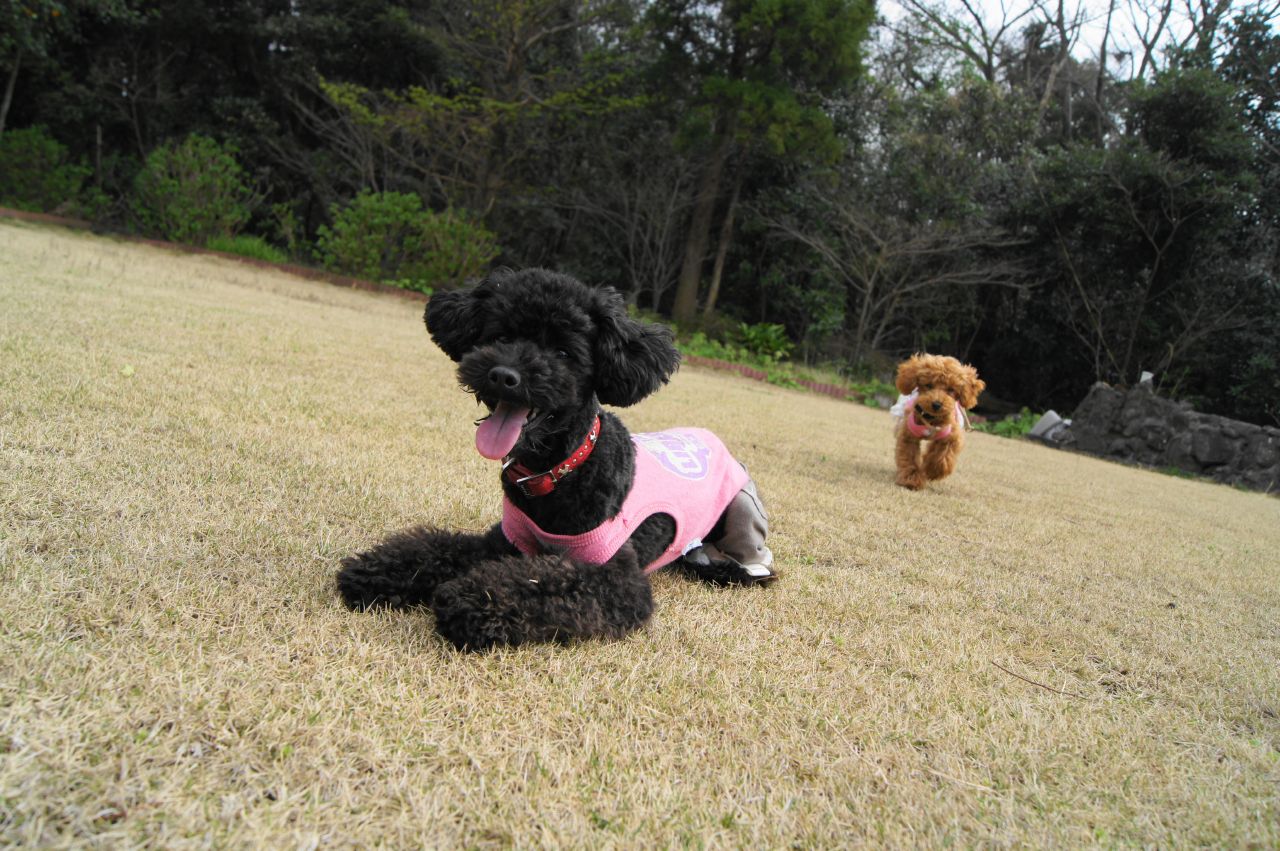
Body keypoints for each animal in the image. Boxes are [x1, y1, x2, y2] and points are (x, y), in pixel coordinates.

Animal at [336, 268, 776, 650]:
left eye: (564, 352)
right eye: (501, 335)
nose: (503, 375)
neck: (559, 471)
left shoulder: (616, 578)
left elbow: (545, 584)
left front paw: (469, 602)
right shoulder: (507, 540)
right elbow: (441, 548)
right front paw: (378, 572)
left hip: (742, 512)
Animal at [891, 353, 985, 490]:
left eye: (951, 390)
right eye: (929, 385)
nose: (936, 404)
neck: (931, 419)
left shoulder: (951, 437)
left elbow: (943, 456)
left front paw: (932, 470)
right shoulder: (908, 436)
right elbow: (909, 457)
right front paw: (911, 479)